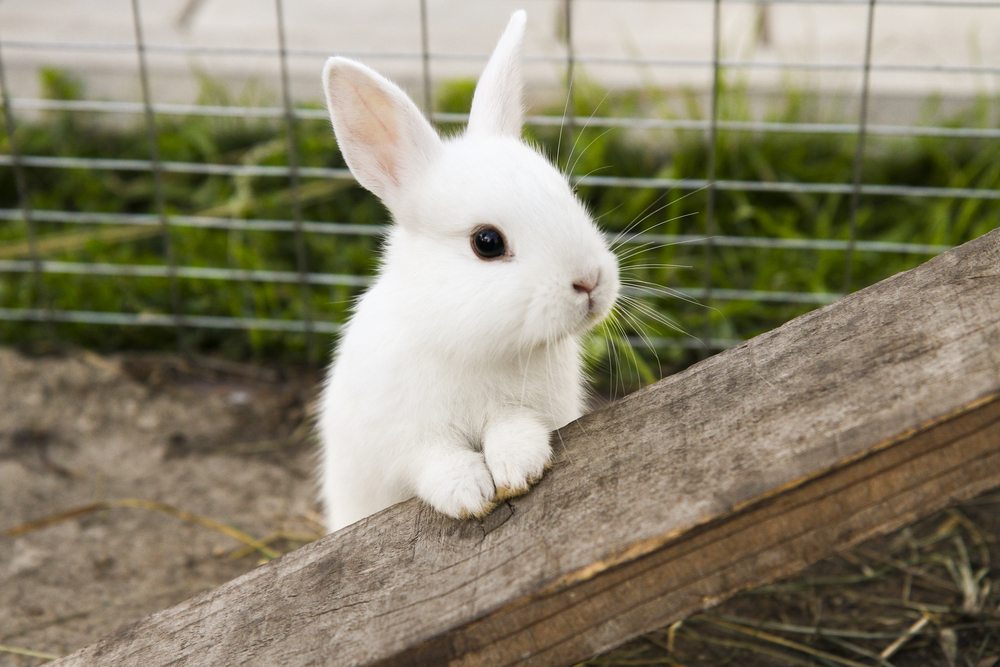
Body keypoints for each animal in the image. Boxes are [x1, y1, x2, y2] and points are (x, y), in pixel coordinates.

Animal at [318, 9, 616, 532]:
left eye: (566, 193)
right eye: (487, 242)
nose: (590, 282)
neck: (474, 346)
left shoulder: (529, 408)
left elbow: (514, 429)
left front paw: (519, 468)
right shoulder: (406, 441)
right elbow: (435, 462)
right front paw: (469, 493)